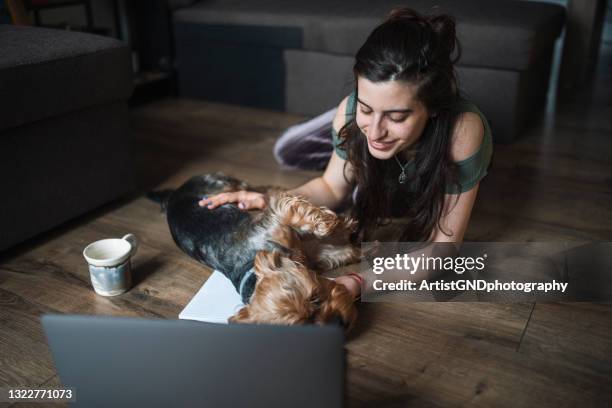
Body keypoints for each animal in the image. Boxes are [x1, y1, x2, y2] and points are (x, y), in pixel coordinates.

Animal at [148, 174, 358, 330]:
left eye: (315, 298)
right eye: (305, 327)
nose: (340, 323)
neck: (251, 268)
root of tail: (173, 195)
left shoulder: (280, 220)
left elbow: (307, 217)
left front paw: (340, 224)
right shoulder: (302, 252)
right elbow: (328, 251)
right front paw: (352, 249)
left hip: (224, 185)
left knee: (260, 190)